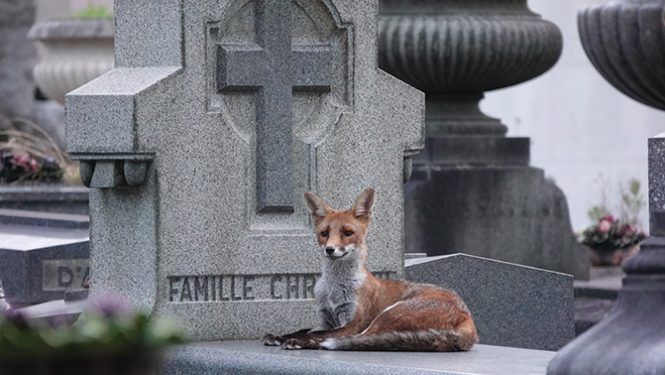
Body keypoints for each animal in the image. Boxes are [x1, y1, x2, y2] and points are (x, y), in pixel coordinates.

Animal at [262, 189, 474, 352]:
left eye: (347, 233)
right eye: (324, 233)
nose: (329, 249)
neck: (333, 288)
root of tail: (468, 317)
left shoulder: (352, 323)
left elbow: (320, 334)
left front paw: (297, 341)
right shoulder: (324, 318)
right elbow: (305, 330)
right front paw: (279, 336)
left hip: (390, 314)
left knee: (353, 340)